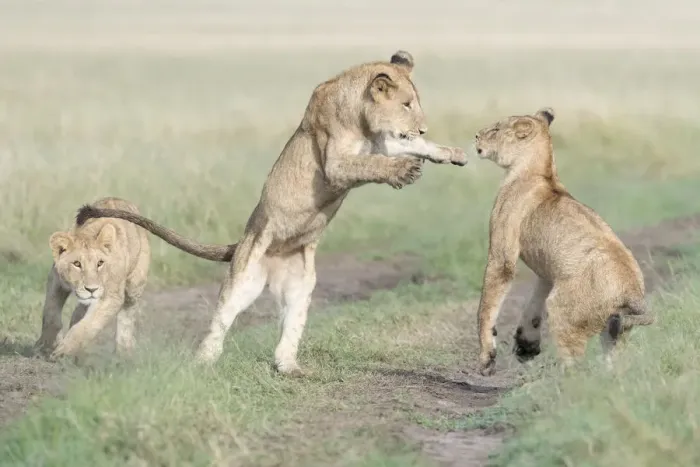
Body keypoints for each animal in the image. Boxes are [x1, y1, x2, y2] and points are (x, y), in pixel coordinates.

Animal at [34, 197, 150, 359]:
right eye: (77, 264)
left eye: (100, 263)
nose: (91, 289)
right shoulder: (56, 280)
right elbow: (50, 313)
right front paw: (46, 344)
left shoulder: (111, 297)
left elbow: (88, 326)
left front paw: (65, 350)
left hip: (135, 284)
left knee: (127, 313)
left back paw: (124, 350)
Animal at [74, 50, 467, 375]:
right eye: (407, 104)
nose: (423, 125)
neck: (361, 118)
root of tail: (246, 242)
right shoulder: (336, 163)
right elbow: (372, 164)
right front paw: (404, 171)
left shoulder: (383, 142)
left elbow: (413, 147)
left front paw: (451, 153)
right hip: (244, 278)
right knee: (221, 319)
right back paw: (204, 361)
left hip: (301, 287)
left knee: (291, 325)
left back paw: (289, 366)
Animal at [473, 107, 654, 376]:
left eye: (495, 129)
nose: (476, 136)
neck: (541, 170)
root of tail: (631, 293)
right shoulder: (548, 273)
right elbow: (534, 304)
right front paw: (526, 345)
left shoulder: (502, 254)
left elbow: (487, 306)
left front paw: (487, 359)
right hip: (615, 331)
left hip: (564, 314)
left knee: (577, 371)